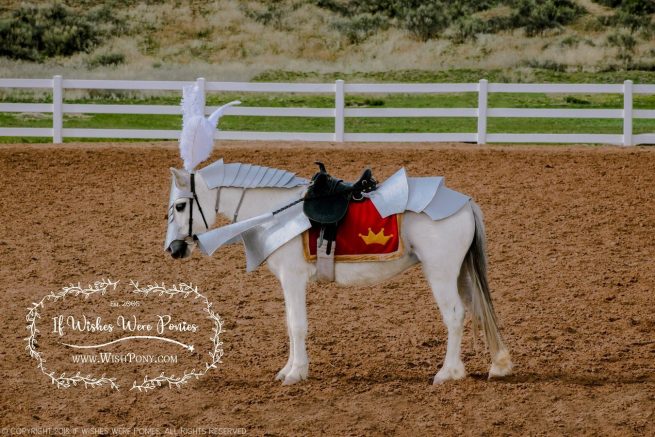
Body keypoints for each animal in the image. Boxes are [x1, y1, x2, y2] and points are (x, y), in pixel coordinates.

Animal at [165, 165, 513, 385]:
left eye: (181, 206)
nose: (173, 249)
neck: (276, 212)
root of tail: (464, 204)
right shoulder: (287, 283)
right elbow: (289, 324)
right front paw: (288, 369)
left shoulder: (293, 279)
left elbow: (297, 325)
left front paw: (295, 373)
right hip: (460, 273)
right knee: (477, 310)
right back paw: (497, 364)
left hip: (440, 274)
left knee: (454, 316)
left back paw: (447, 373)